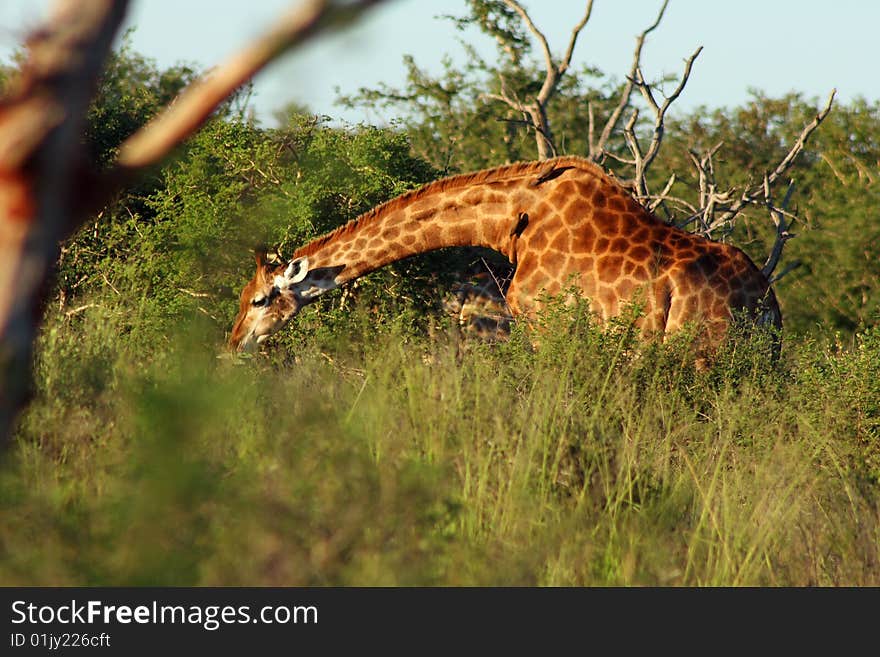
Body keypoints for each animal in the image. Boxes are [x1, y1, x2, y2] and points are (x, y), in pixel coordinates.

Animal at [229, 156, 784, 356]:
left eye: (259, 300)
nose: (234, 344)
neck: (510, 224)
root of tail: (768, 309)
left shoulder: (543, 324)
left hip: (699, 356)